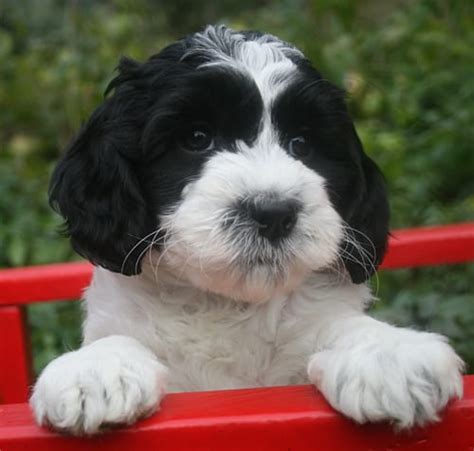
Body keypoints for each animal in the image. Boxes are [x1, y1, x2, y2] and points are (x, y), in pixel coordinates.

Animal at [30, 25, 462, 438]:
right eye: (197, 138)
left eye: (301, 144)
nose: (273, 212)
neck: (228, 305)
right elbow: (117, 336)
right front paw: (94, 371)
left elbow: (341, 324)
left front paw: (388, 352)